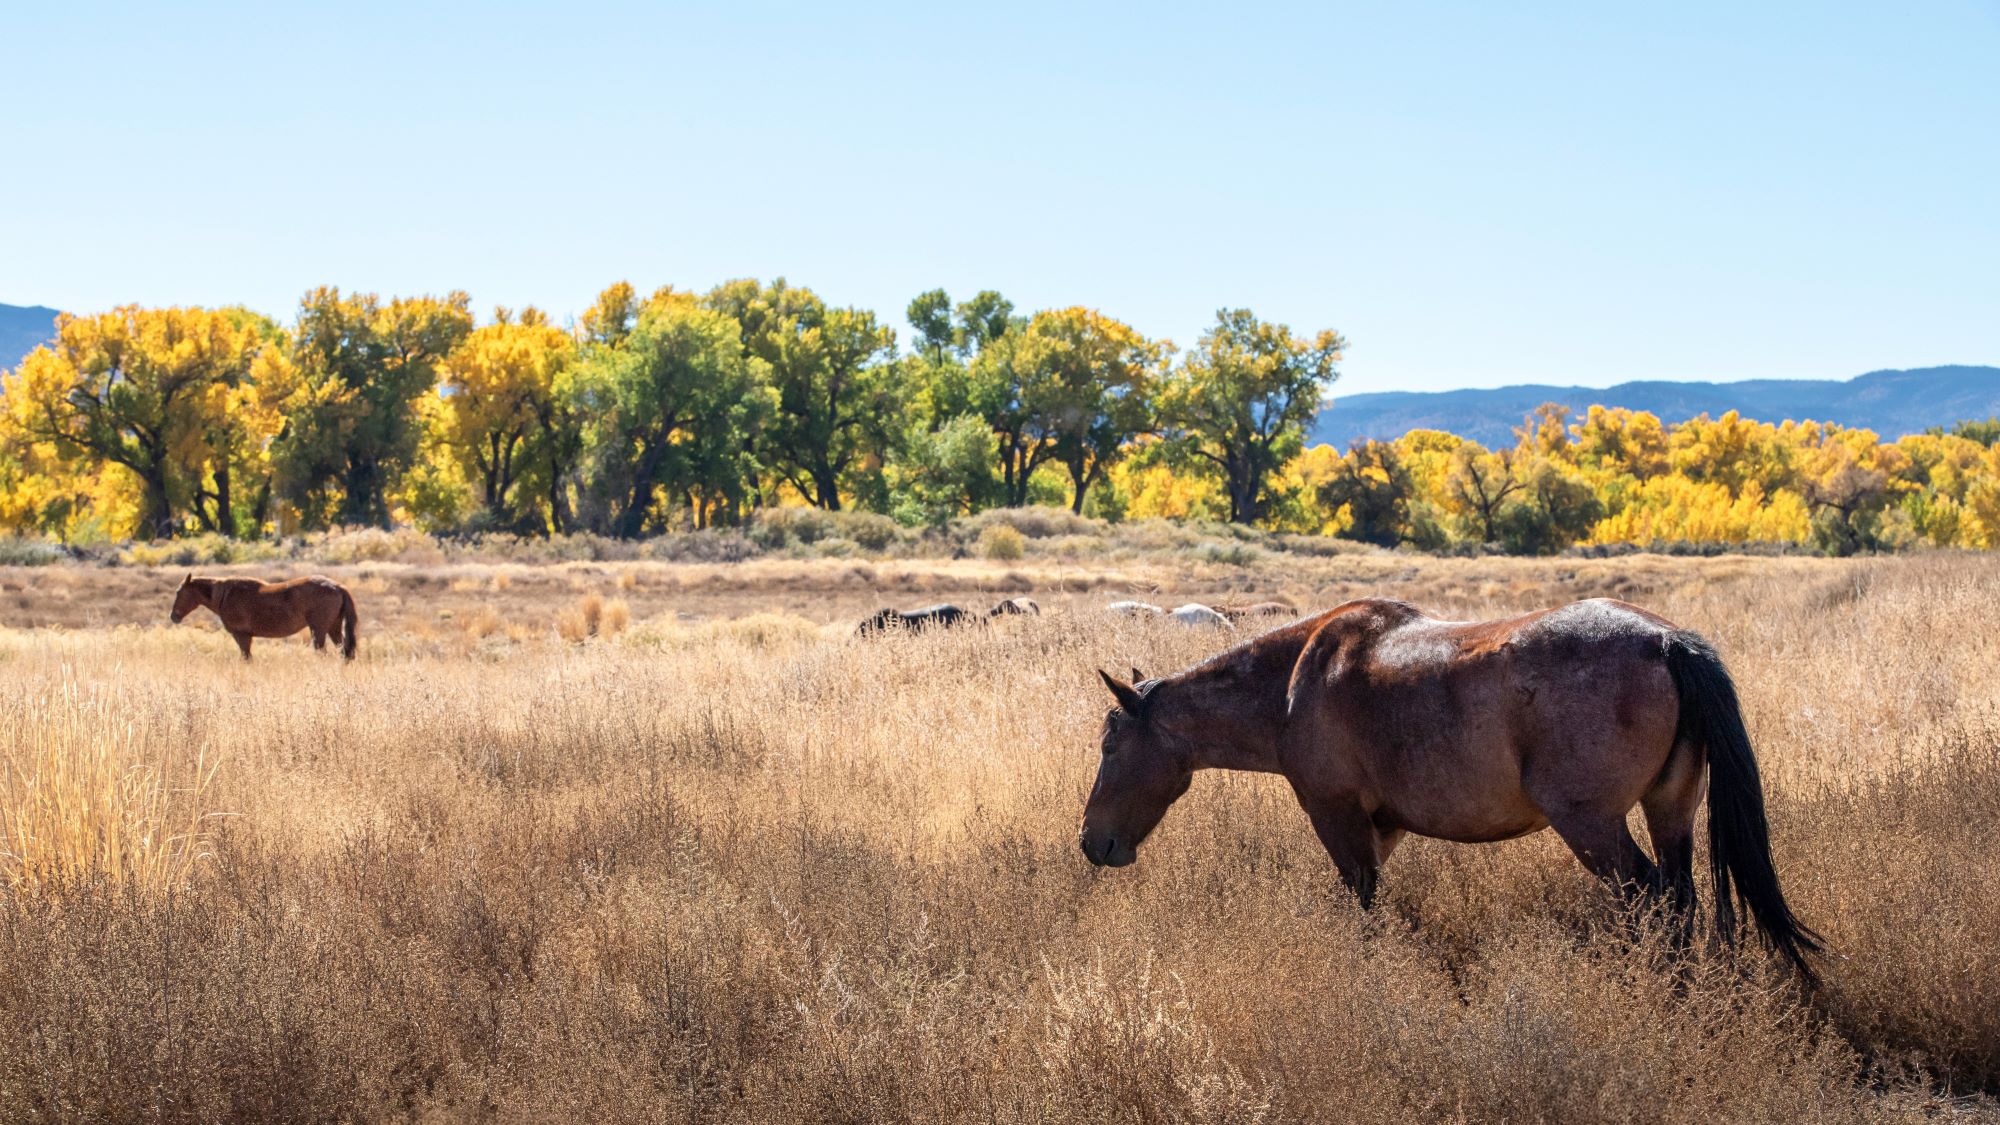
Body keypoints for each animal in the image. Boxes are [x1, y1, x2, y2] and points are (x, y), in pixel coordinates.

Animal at [170, 573, 359, 661]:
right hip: (333, 628)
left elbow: (246, 658)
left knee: (323, 652)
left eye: (179, 592)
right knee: (345, 652)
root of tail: (337, 586)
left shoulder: (242, 636)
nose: (173, 616)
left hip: (319, 630)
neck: (225, 595)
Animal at [1080, 597, 1823, 980]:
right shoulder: (1383, 826)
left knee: (1650, 899)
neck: (1295, 680)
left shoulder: (1337, 817)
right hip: (1670, 811)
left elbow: (1362, 906)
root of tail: (1668, 643)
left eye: (1110, 745)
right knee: (1680, 898)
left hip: (1593, 825)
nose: (1093, 841)